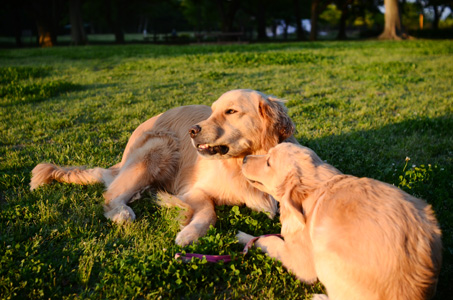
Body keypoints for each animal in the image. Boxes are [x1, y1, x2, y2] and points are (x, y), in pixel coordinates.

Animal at [29, 89, 296, 246]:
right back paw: (123, 212)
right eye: (212, 112)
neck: (241, 163)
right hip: (159, 147)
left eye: (231, 111)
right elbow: (210, 210)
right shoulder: (194, 190)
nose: (192, 130)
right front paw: (189, 233)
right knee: (110, 195)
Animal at [238, 143, 440, 300]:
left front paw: (241, 235)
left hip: (325, 255)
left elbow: (268, 239)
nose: (244, 158)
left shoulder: (300, 261)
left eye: (269, 162)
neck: (315, 188)